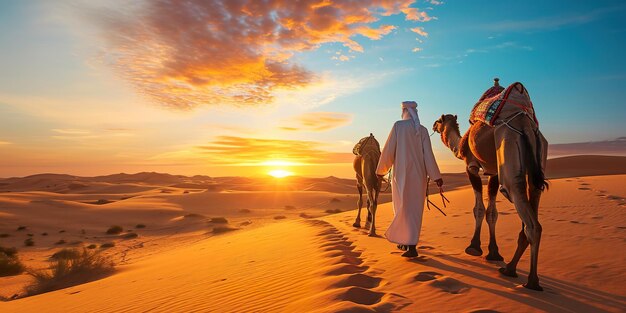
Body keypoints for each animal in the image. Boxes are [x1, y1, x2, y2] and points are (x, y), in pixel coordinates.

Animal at [434, 112, 544, 290]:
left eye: (438, 121)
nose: (433, 125)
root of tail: (527, 128)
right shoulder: (494, 172)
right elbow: (492, 212)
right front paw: (493, 253)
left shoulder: (471, 167)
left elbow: (479, 209)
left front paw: (474, 247)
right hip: (536, 167)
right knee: (533, 200)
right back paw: (510, 269)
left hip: (510, 161)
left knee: (532, 224)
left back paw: (531, 281)